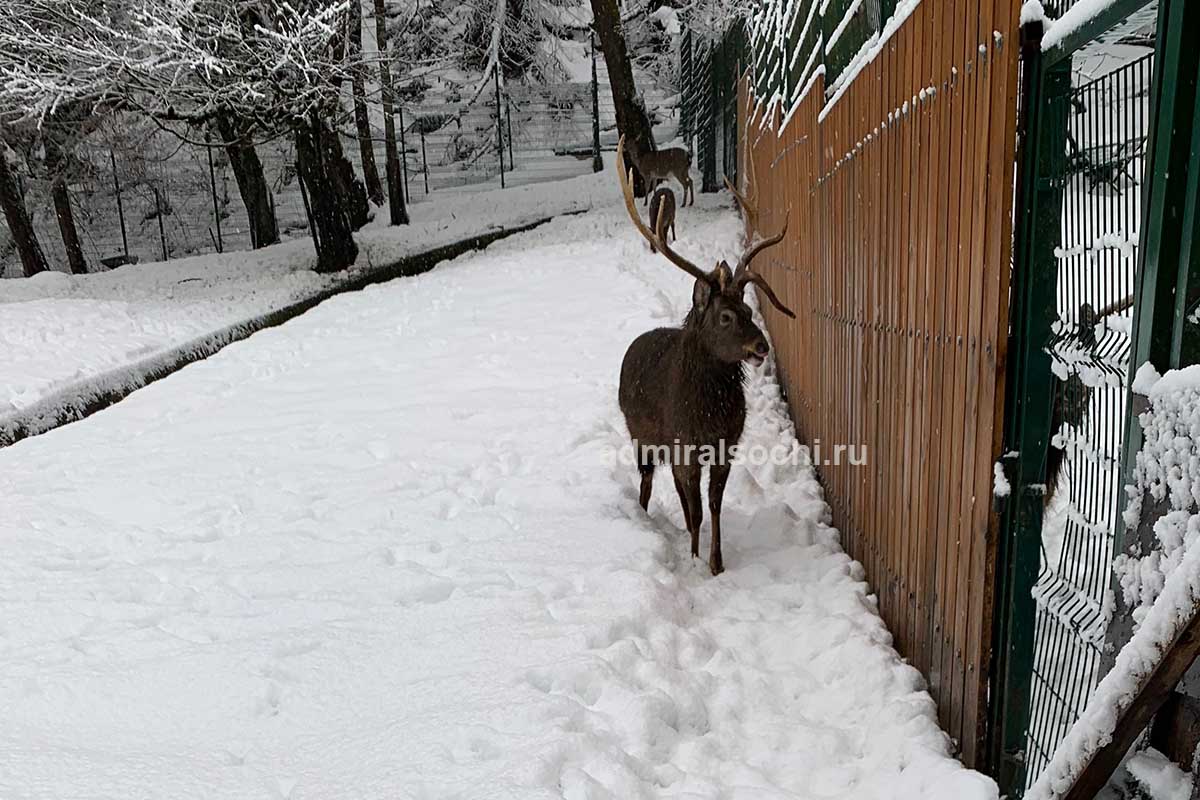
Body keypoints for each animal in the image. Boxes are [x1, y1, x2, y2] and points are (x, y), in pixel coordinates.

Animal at [614, 137, 792, 575]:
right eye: (725, 316)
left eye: (748, 310)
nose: (761, 346)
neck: (708, 413)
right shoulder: (685, 446)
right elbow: (693, 510)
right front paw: (695, 562)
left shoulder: (725, 446)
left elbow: (711, 507)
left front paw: (715, 563)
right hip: (641, 435)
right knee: (647, 482)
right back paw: (643, 519)